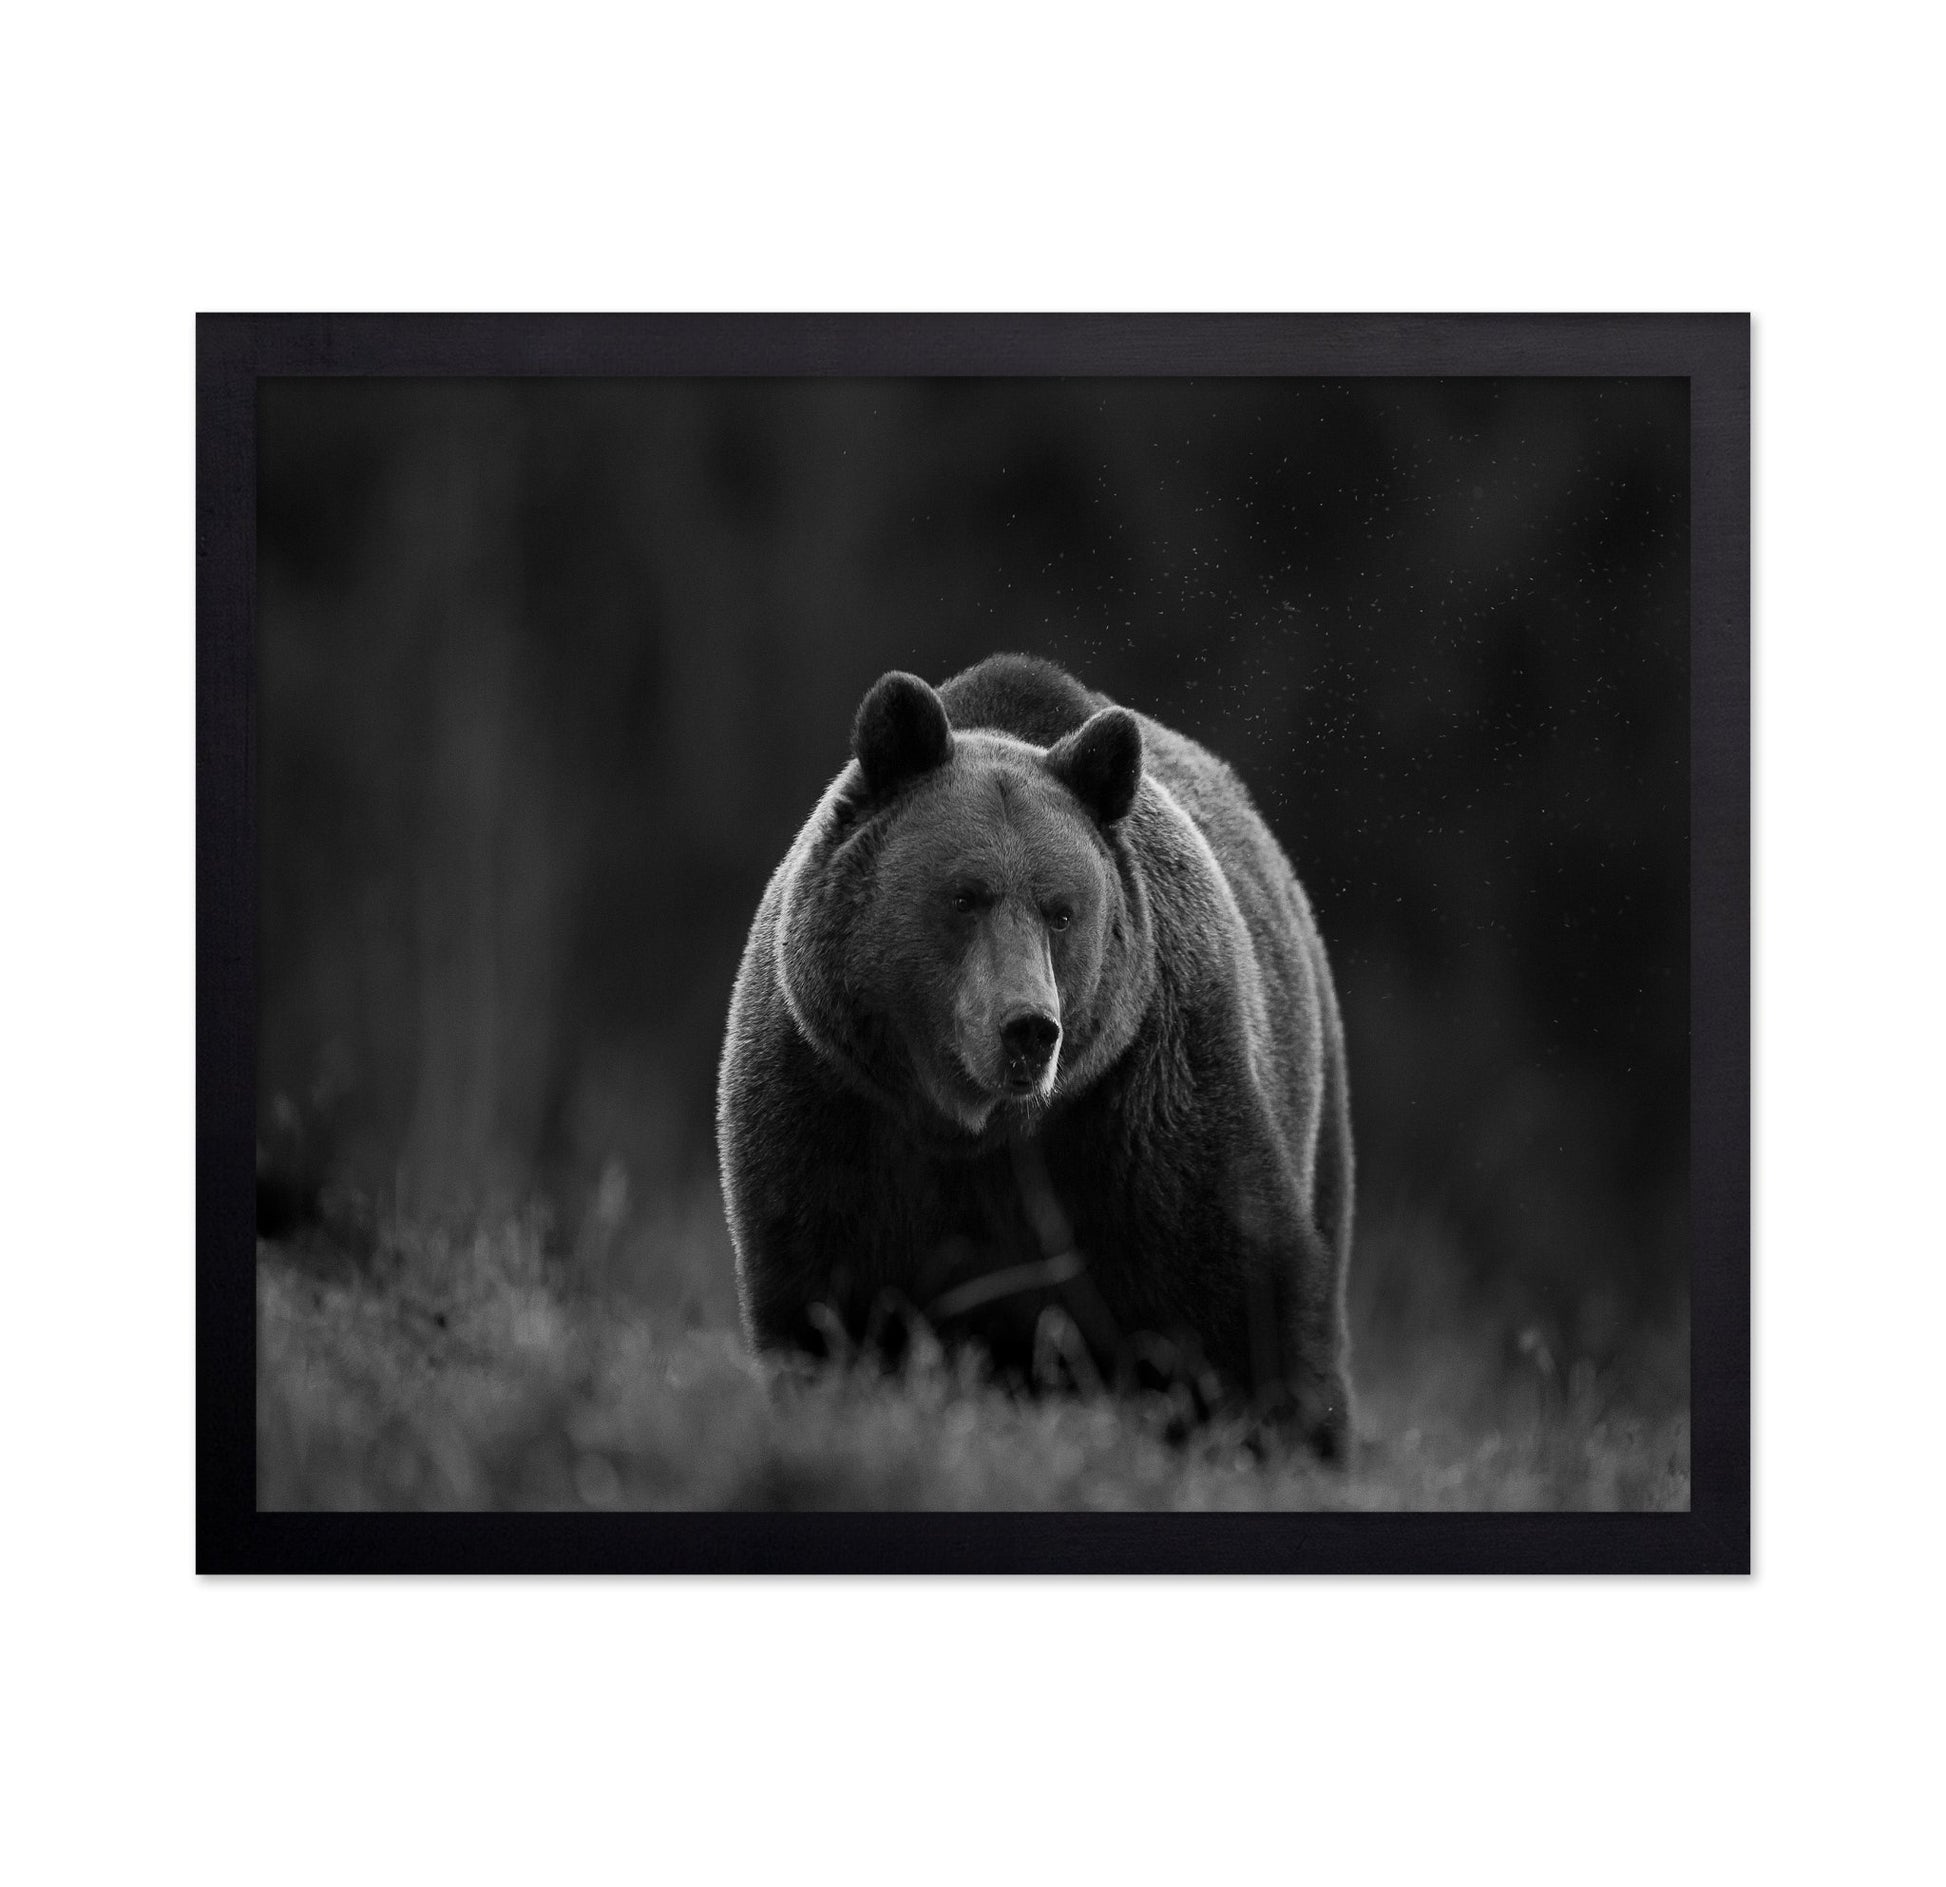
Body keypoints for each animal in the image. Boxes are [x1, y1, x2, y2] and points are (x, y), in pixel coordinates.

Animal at [717, 653, 1354, 1459]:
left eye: (1061, 910)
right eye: (965, 895)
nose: (1029, 1028)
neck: (976, 1129)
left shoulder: (1144, 1107)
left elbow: (1238, 1299)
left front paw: (1288, 1435)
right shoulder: (831, 1109)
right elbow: (828, 1312)